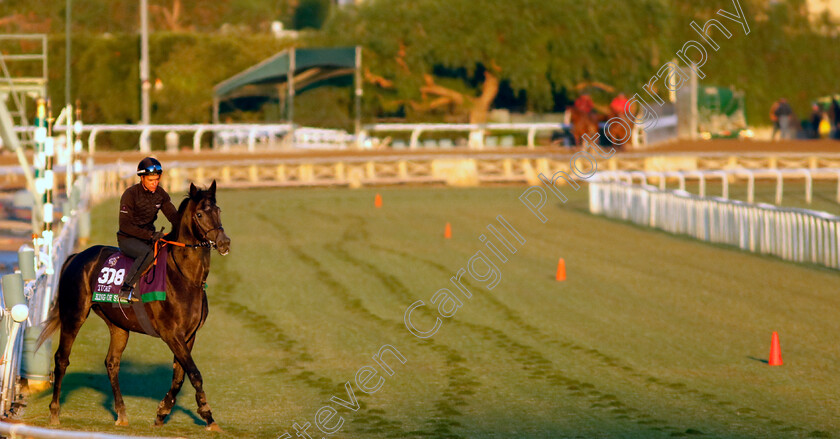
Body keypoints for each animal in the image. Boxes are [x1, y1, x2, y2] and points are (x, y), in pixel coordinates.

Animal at [37, 180, 230, 432]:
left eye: (218, 210)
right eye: (199, 214)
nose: (224, 243)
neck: (185, 278)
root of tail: (76, 256)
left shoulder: (189, 336)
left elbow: (179, 377)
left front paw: (162, 412)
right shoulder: (171, 334)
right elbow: (194, 373)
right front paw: (207, 415)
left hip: (119, 325)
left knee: (112, 363)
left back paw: (121, 413)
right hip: (74, 315)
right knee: (62, 359)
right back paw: (54, 413)